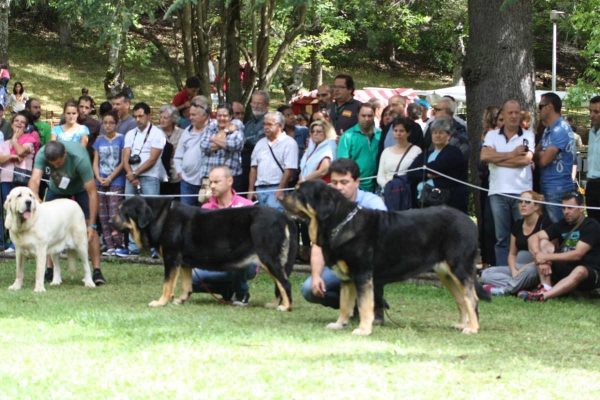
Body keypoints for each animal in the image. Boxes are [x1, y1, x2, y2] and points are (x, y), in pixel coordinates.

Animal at [110, 197, 298, 310]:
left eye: (122, 211)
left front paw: (161, 301)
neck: (159, 218)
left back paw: (286, 307)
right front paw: (181, 300)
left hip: (268, 257)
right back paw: (274, 304)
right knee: (280, 284)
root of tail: (285, 218)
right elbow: (186, 284)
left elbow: (167, 283)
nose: (110, 220)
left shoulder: (171, 258)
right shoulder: (184, 263)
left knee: (285, 283)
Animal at [284, 180, 490, 336]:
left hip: (459, 268)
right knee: (461, 299)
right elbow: (345, 304)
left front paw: (363, 329)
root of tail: (470, 222)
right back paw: (462, 324)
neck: (340, 223)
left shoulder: (362, 275)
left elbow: (365, 304)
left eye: (299, 192)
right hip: (446, 274)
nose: (281, 197)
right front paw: (340, 323)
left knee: (471, 299)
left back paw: (472, 328)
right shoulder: (346, 279)